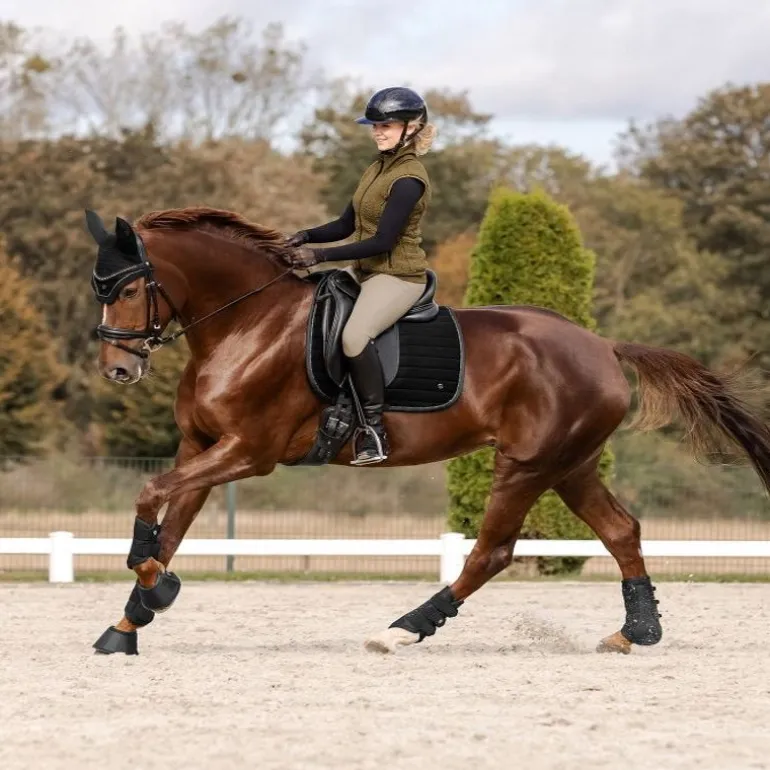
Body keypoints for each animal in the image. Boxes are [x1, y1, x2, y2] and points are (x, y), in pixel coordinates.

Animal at [84, 206, 770, 656]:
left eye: (129, 288)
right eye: (100, 287)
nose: (118, 368)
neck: (247, 323)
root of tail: (603, 345)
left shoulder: (248, 452)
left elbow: (149, 497)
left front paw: (155, 589)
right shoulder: (202, 447)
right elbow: (171, 524)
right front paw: (131, 621)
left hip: (526, 465)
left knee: (493, 551)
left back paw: (405, 628)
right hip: (570, 465)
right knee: (622, 531)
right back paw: (637, 632)